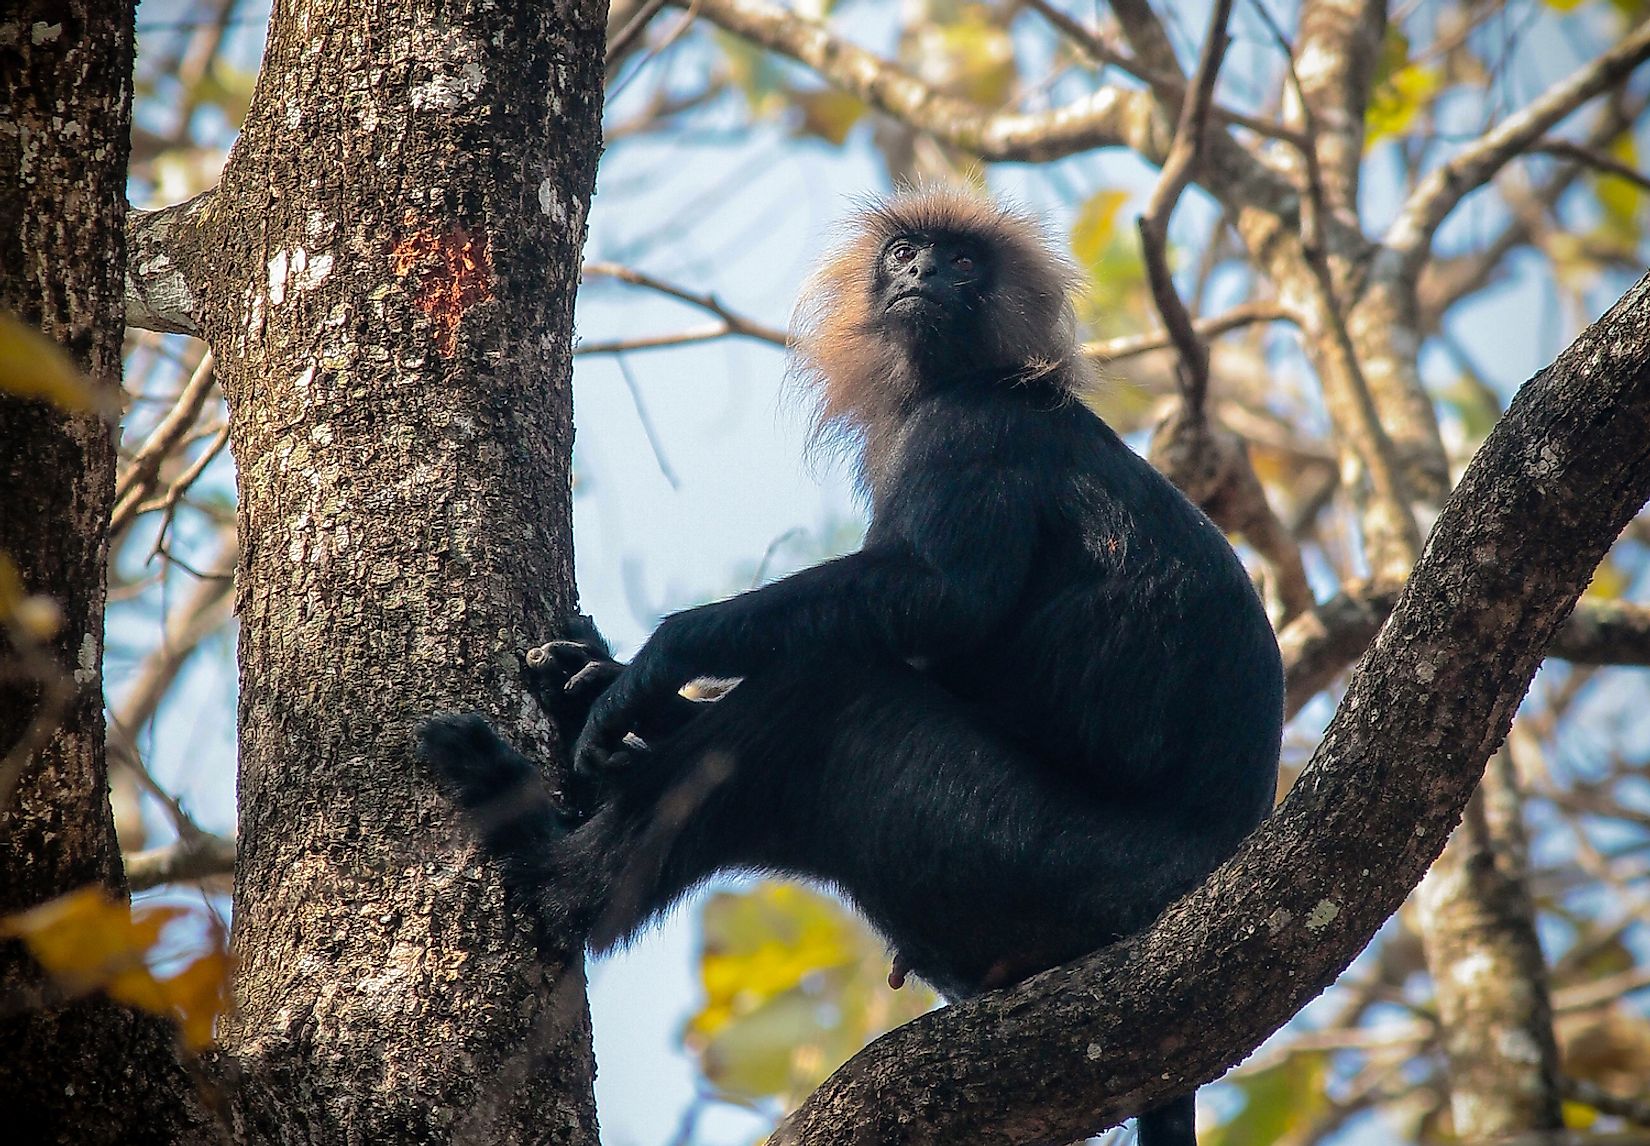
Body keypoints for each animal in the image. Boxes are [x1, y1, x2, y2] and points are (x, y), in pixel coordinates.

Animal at [415, 187, 1287, 1146]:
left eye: (964, 262)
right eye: (907, 252)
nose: (925, 272)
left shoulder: (971, 428)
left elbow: (944, 601)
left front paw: (651, 666)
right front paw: (597, 684)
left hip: (1037, 860)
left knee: (825, 697)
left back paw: (540, 858)